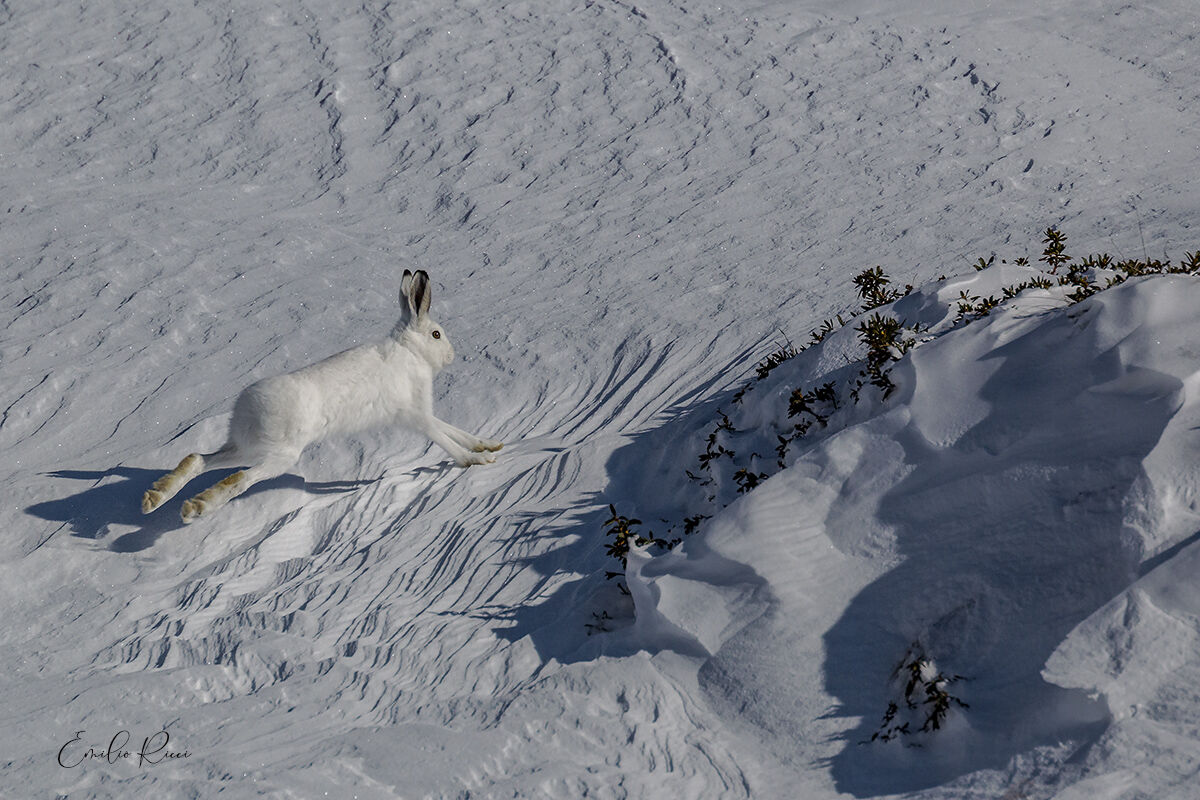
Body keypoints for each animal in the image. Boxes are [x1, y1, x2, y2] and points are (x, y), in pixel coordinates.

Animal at [142, 269, 502, 523]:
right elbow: (444, 438)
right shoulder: (415, 414)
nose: (451, 355)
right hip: (282, 454)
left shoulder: (423, 413)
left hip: (247, 446)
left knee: (198, 459)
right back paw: (196, 508)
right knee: (241, 478)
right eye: (436, 334)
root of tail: (249, 409)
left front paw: (489, 445)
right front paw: (477, 461)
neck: (410, 351)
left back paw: (155, 499)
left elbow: (455, 430)